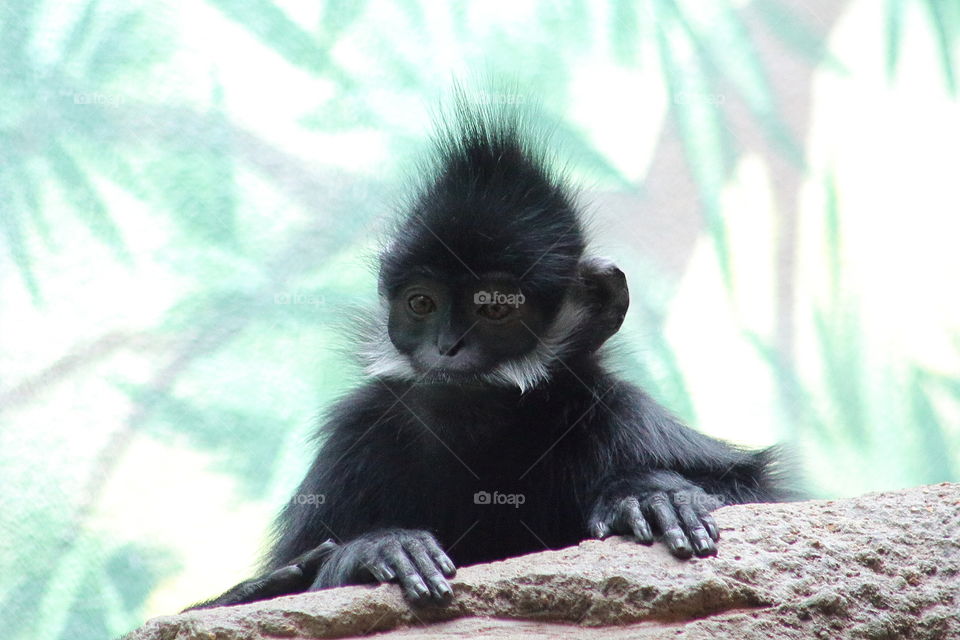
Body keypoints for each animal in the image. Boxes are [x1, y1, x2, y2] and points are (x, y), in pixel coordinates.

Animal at [189, 94, 793, 610]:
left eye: (495, 309)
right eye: (422, 303)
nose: (447, 347)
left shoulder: (616, 414)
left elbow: (763, 496)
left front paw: (648, 495)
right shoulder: (357, 431)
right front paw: (372, 551)